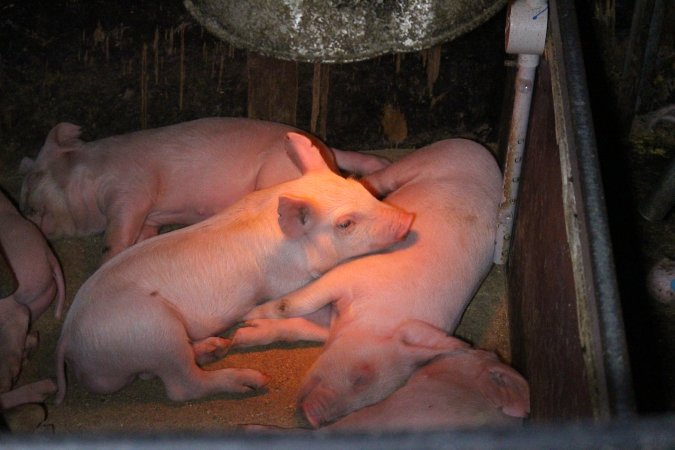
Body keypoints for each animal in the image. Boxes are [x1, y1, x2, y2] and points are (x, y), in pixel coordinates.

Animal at [19, 118, 390, 262]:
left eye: (34, 178)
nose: (25, 216)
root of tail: (323, 149)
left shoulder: (130, 190)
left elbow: (116, 235)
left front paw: (107, 260)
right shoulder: (149, 216)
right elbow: (142, 235)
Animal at [55, 133, 414, 404]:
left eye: (359, 187)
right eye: (345, 223)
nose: (407, 219)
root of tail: (68, 338)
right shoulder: (286, 282)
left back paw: (213, 348)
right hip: (152, 329)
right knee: (182, 386)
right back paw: (250, 381)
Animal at [240, 139, 504, 428]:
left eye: (371, 399)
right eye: (360, 377)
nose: (314, 419)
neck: (380, 313)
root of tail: (484, 154)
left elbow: (302, 326)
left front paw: (245, 333)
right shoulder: (348, 275)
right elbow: (296, 303)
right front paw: (248, 316)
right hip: (427, 158)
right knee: (379, 179)